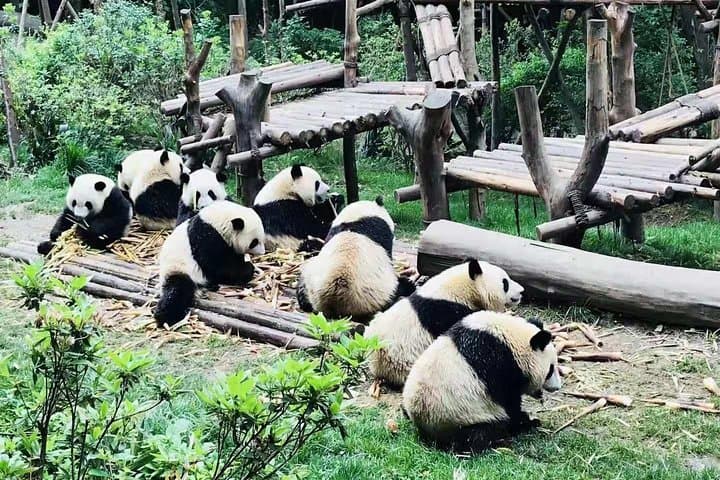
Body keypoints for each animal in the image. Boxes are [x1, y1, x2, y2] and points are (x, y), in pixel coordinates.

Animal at [402, 311, 562, 453]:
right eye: (550, 369)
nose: (557, 387)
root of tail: (422, 425)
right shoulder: (500, 364)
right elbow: (509, 402)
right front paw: (527, 421)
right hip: (461, 416)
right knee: (479, 434)